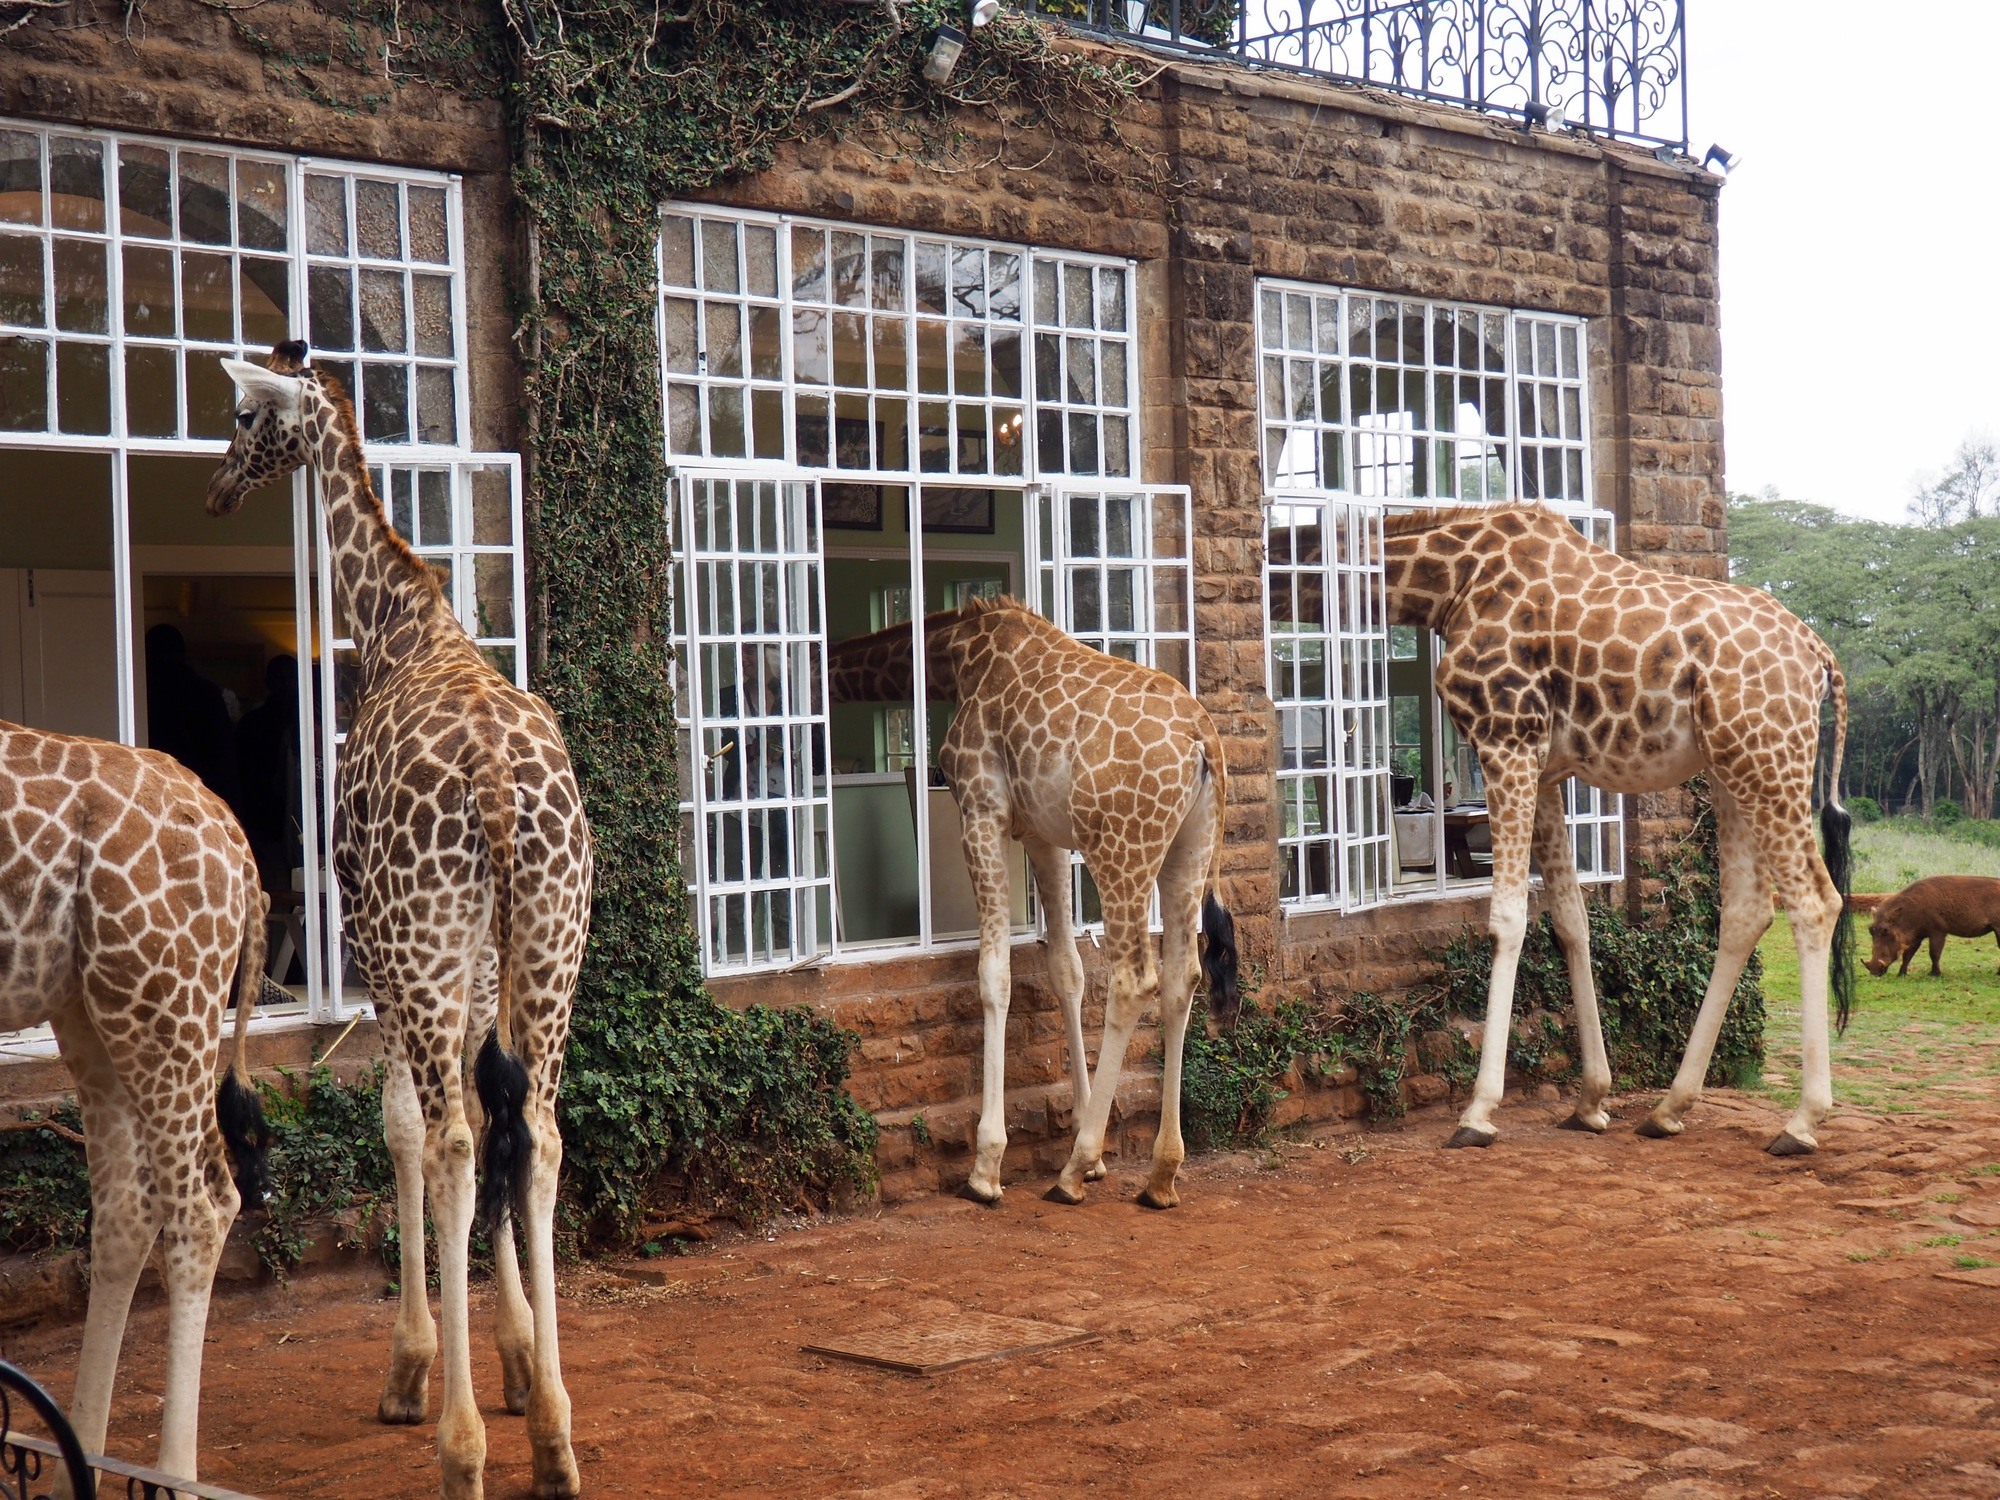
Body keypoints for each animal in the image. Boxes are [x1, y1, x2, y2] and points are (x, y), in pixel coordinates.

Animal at [0, 724, 268, 1488]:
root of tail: (233, 835)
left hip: (160, 991)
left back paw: (173, 1475)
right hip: (88, 1003)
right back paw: (76, 1467)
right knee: (127, 1207)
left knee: (202, 1205)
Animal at [205, 344, 592, 1500]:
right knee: (538, 1133)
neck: (398, 626)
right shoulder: (475, 961)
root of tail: (500, 785)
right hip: (550, 940)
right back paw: (554, 1439)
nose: (218, 487)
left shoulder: (382, 946)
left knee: (460, 1139)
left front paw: (415, 1368)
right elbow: (495, 1118)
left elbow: (406, 1127)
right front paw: (517, 1359)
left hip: (421, 947)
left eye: (244, 415)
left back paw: (458, 1447)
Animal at [824, 596, 1232, 1208]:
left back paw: (1071, 1172)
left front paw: (987, 1166)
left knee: (1135, 979)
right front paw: (1095, 1152)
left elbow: (995, 975)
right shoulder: (1043, 834)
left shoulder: (981, 807)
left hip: (1122, 848)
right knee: (1183, 978)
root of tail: (1201, 740)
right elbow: (1066, 969)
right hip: (1188, 852)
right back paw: (1160, 1175)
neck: (955, 655)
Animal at [1384, 506, 1848, 1152]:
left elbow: (1506, 917)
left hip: (1768, 759)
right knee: (1748, 909)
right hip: (1731, 765)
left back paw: (1802, 1122)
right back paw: (1668, 1108)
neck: (1453, 583)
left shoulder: (1504, 739)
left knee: (1815, 901)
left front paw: (1478, 1112)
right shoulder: (1546, 767)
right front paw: (1590, 1099)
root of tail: (1818, 654)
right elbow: (1569, 919)